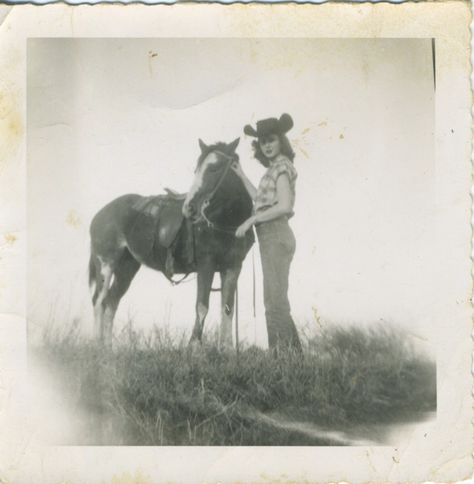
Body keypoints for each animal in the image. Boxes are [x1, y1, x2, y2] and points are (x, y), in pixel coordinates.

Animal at [87, 136, 254, 348]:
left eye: (215, 168)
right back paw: (96, 345)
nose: (189, 208)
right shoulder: (206, 265)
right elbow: (202, 306)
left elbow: (227, 309)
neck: (226, 222)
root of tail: (100, 215)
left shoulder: (233, 267)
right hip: (106, 264)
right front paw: (194, 347)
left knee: (111, 302)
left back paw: (108, 349)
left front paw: (227, 349)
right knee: (99, 301)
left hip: (127, 268)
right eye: (197, 169)